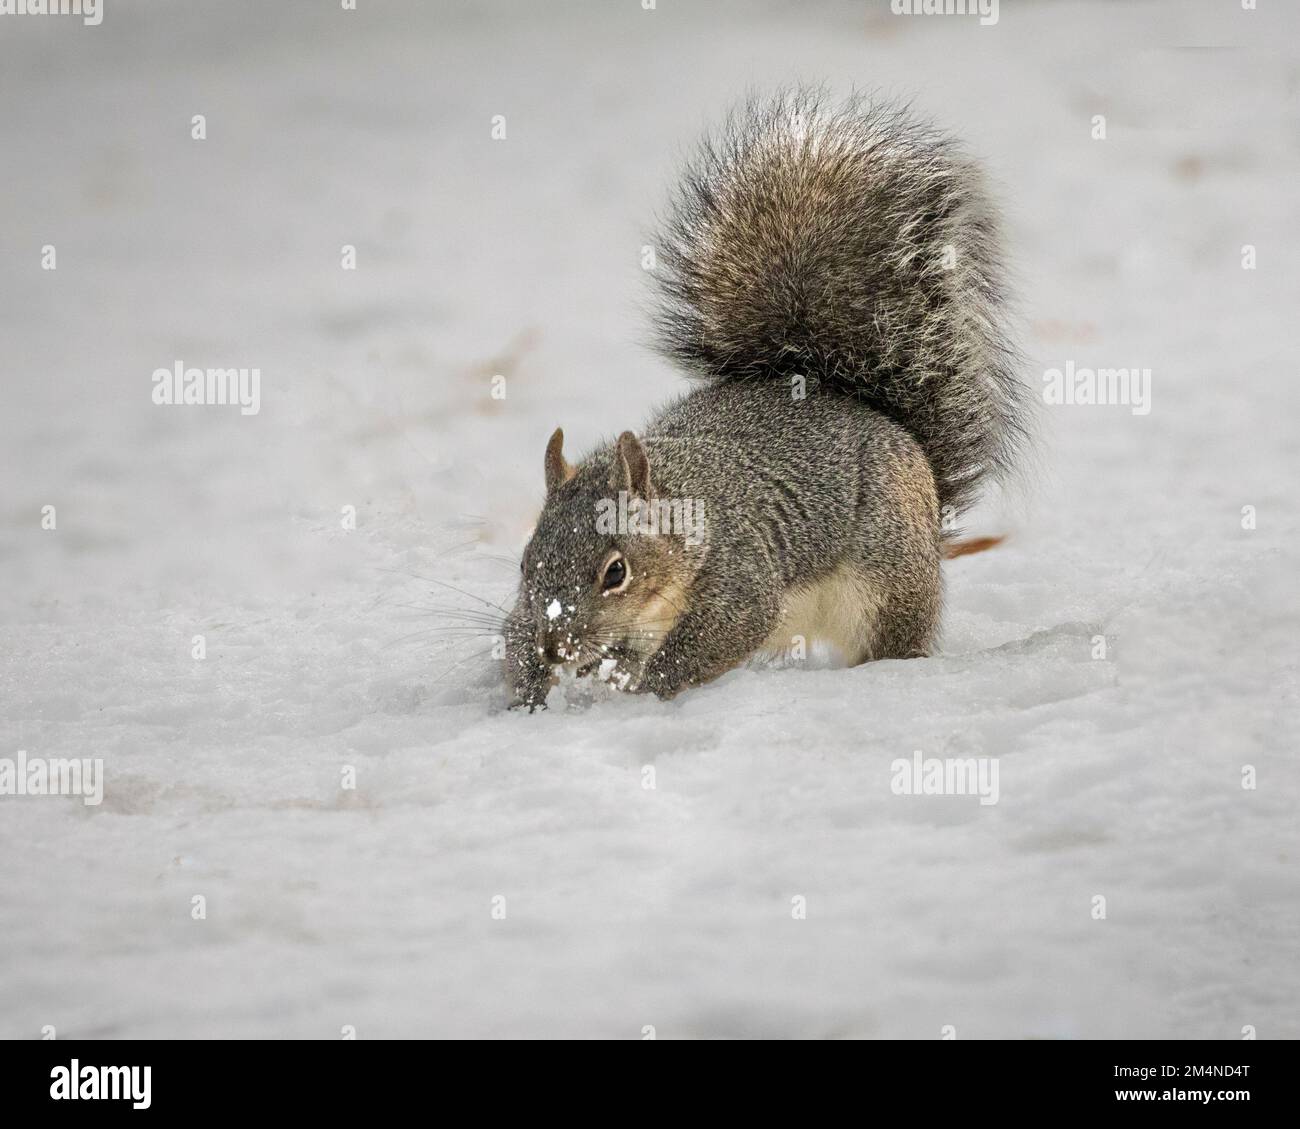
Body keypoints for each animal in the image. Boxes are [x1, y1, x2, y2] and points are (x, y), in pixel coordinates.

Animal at [501, 88, 1029, 707]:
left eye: (616, 573)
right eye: (524, 564)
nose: (554, 647)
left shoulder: (739, 577)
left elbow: (713, 639)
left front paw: (641, 693)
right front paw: (529, 692)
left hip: (889, 577)